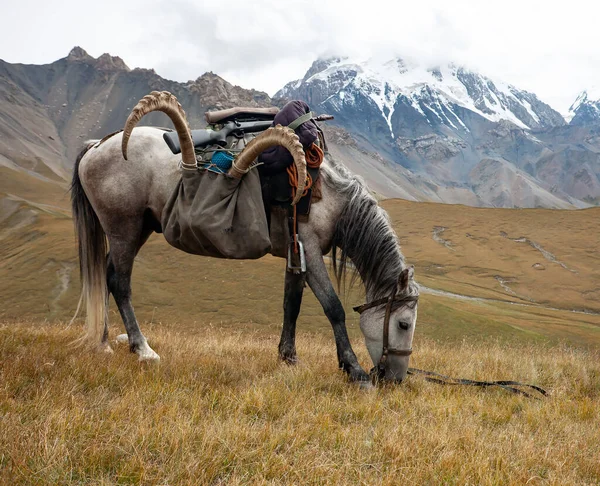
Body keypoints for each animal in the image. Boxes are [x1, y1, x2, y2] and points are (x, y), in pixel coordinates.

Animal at [72, 89, 420, 382]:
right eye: (403, 323)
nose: (395, 378)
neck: (331, 195)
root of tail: (95, 147)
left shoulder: (296, 251)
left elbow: (291, 304)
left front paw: (288, 357)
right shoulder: (309, 248)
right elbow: (332, 306)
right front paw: (354, 368)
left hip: (136, 229)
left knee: (105, 274)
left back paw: (104, 343)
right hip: (124, 228)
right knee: (119, 282)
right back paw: (143, 349)